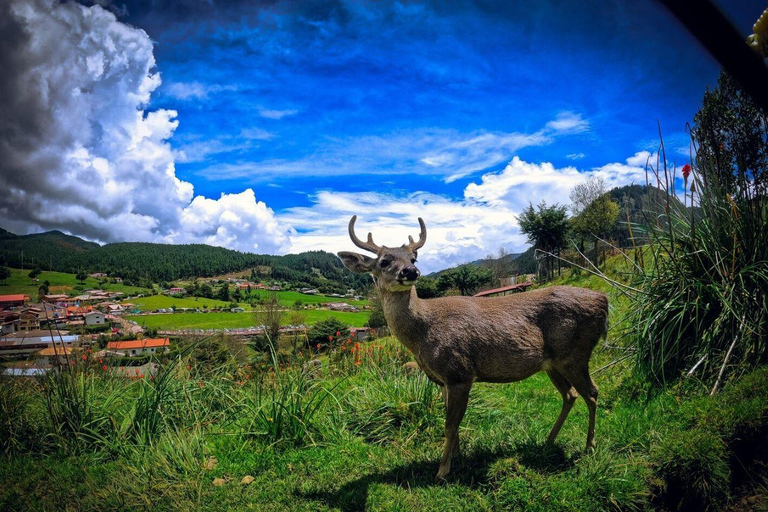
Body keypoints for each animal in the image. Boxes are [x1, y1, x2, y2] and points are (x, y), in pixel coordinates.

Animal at [340, 216, 608, 480]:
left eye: (413, 258)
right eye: (384, 261)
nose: (411, 271)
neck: (422, 334)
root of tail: (604, 301)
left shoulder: (459, 372)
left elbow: (450, 424)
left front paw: (442, 470)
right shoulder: (443, 380)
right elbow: (450, 421)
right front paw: (456, 456)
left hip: (575, 354)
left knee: (592, 392)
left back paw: (589, 446)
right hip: (552, 363)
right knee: (570, 394)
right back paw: (548, 441)